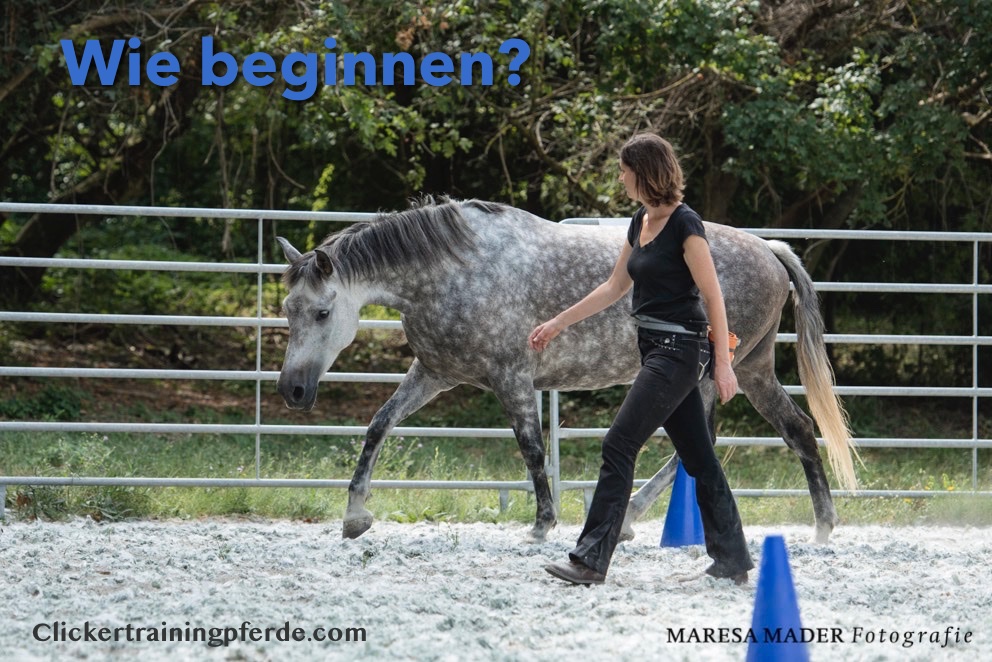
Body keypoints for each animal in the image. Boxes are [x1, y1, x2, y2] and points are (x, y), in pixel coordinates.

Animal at [275, 198, 858, 544]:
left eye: (322, 312)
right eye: (287, 309)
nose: (293, 390)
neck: (453, 272)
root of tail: (771, 249)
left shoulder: (512, 379)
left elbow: (532, 449)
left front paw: (541, 525)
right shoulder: (434, 373)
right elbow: (379, 425)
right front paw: (355, 516)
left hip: (711, 373)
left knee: (708, 446)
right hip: (748, 371)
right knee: (791, 431)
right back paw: (822, 526)